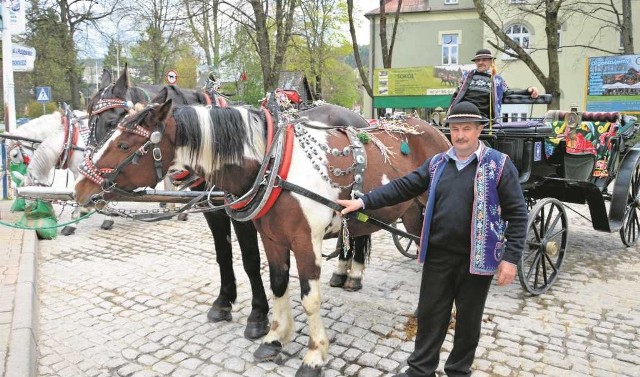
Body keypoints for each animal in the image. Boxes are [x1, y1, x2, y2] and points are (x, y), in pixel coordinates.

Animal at [75, 99, 450, 376]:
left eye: (124, 143)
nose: (80, 188)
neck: (274, 164)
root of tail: (433, 130)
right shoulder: (272, 238)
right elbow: (278, 284)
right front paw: (274, 338)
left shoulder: (305, 241)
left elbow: (309, 298)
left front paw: (314, 355)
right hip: (411, 214)